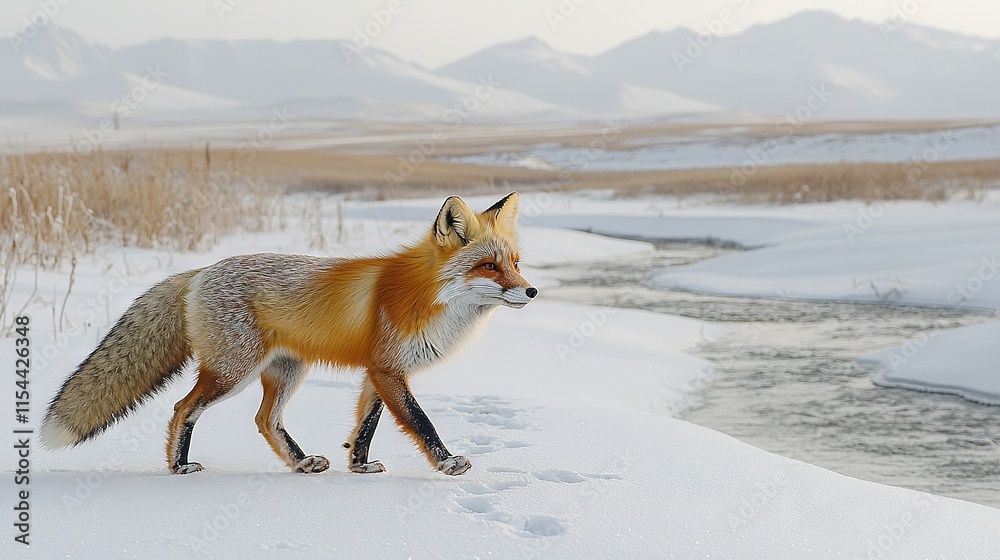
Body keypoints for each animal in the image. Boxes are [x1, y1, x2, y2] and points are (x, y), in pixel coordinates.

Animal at [41, 192, 536, 476]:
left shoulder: (379, 370)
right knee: (183, 407)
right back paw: (179, 467)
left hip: (286, 372)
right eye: (488, 266)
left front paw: (357, 465)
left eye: (514, 263)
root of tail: (200, 271)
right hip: (232, 372)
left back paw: (300, 463)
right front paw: (447, 462)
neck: (428, 297)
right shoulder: (389, 371)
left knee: (265, 419)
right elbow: (420, 421)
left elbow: (366, 426)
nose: (532, 291)